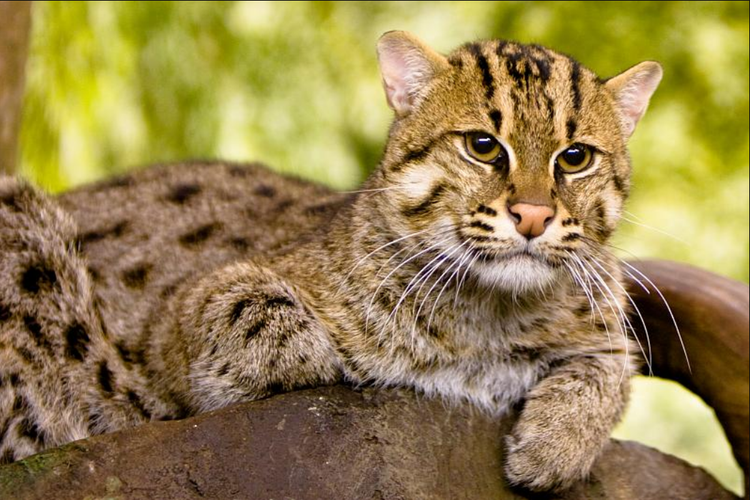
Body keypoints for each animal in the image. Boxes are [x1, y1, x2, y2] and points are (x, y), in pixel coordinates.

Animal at [0, 31, 664, 492]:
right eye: (482, 146)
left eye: (575, 157)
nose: (531, 215)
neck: (487, 318)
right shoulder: (170, 323)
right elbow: (249, 306)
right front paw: (326, 352)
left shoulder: (604, 321)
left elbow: (612, 367)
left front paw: (554, 445)